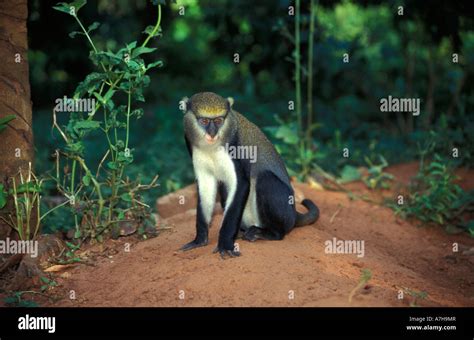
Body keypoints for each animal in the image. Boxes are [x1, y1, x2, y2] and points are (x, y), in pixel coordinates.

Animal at [180, 91, 320, 256]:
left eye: (219, 120)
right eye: (204, 121)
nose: (212, 133)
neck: (212, 146)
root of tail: (294, 214)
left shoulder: (234, 149)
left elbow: (241, 184)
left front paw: (225, 244)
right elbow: (206, 186)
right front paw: (200, 239)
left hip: (285, 213)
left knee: (265, 179)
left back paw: (269, 233)